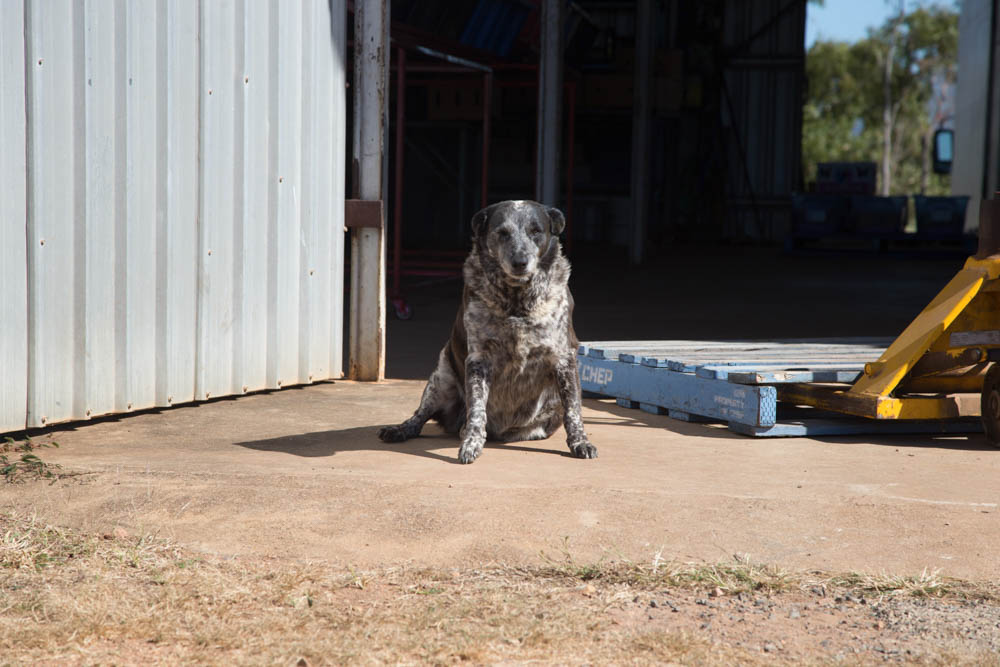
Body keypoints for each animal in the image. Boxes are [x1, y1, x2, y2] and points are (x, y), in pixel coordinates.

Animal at [378, 200, 597, 464]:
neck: (516, 300)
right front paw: (471, 444)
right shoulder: (478, 360)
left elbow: (573, 409)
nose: (520, 261)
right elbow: (476, 410)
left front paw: (580, 442)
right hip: (440, 380)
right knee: (420, 415)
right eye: (502, 233)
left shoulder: (564, 358)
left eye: (536, 231)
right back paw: (401, 430)